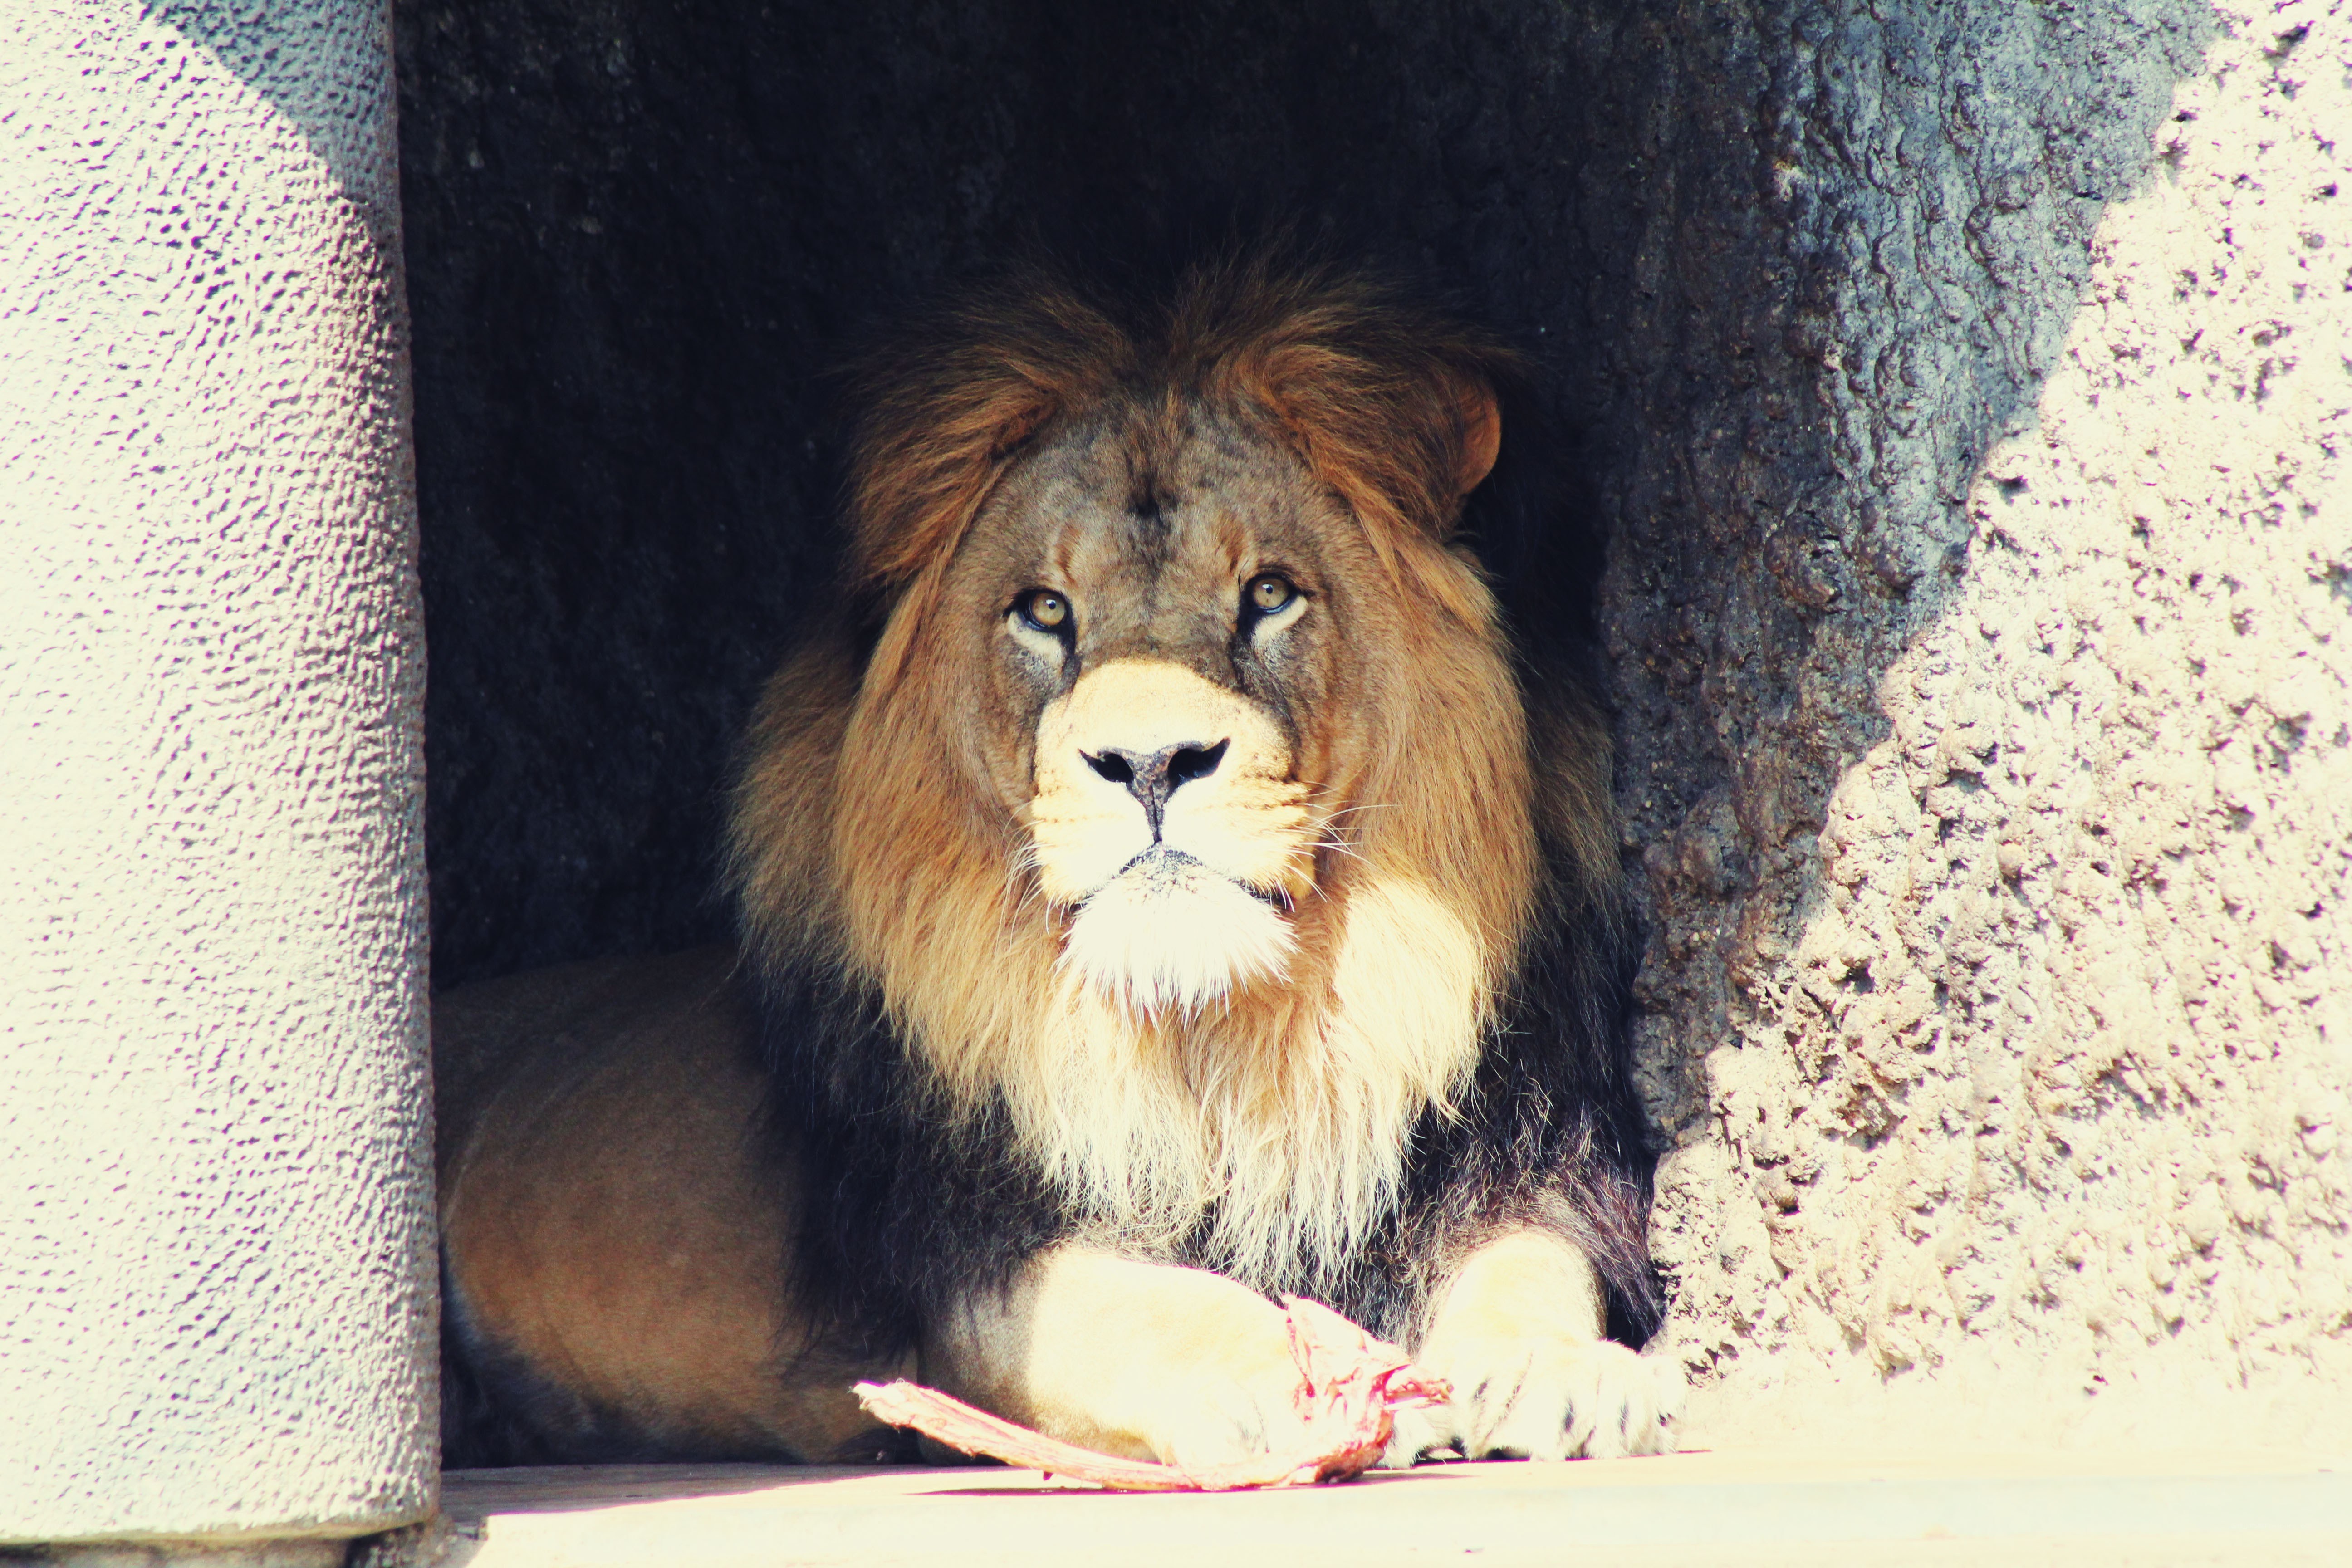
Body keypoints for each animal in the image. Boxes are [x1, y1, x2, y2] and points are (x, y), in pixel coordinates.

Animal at [433, 256, 1678, 1470]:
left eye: (1271, 594)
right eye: (1043, 611)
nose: (1151, 761)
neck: (1218, 1041)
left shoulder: (1526, 1159)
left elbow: (1530, 1265)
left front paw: (1557, 1373)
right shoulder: (972, 1258)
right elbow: (1144, 1306)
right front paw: (1289, 1376)